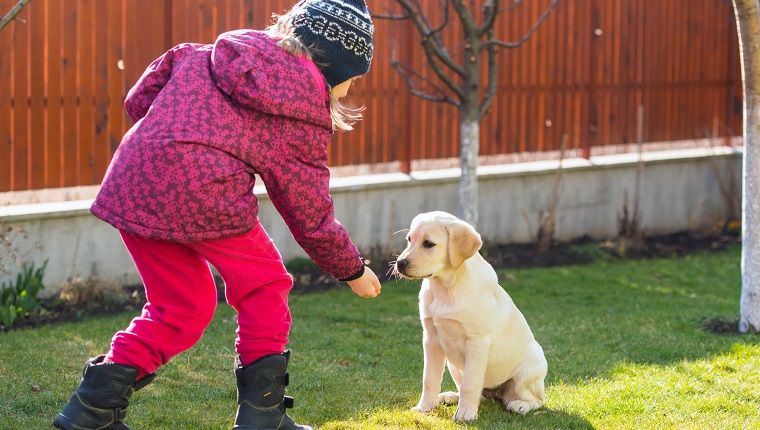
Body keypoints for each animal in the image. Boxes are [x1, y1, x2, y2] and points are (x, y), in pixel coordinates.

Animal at [392, 211, 548, 420]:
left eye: (428, 244)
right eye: (409, 240)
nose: (400, 263)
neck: (446, 287)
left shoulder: (477, 343)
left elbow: (470, 384)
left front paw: (465, 415)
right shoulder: (431, 339)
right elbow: (429, 379)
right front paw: (425, 407)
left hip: (528, 369)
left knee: (535, 399)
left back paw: (520, 405)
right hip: (454, 365)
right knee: (480, 395)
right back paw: (451, 396)